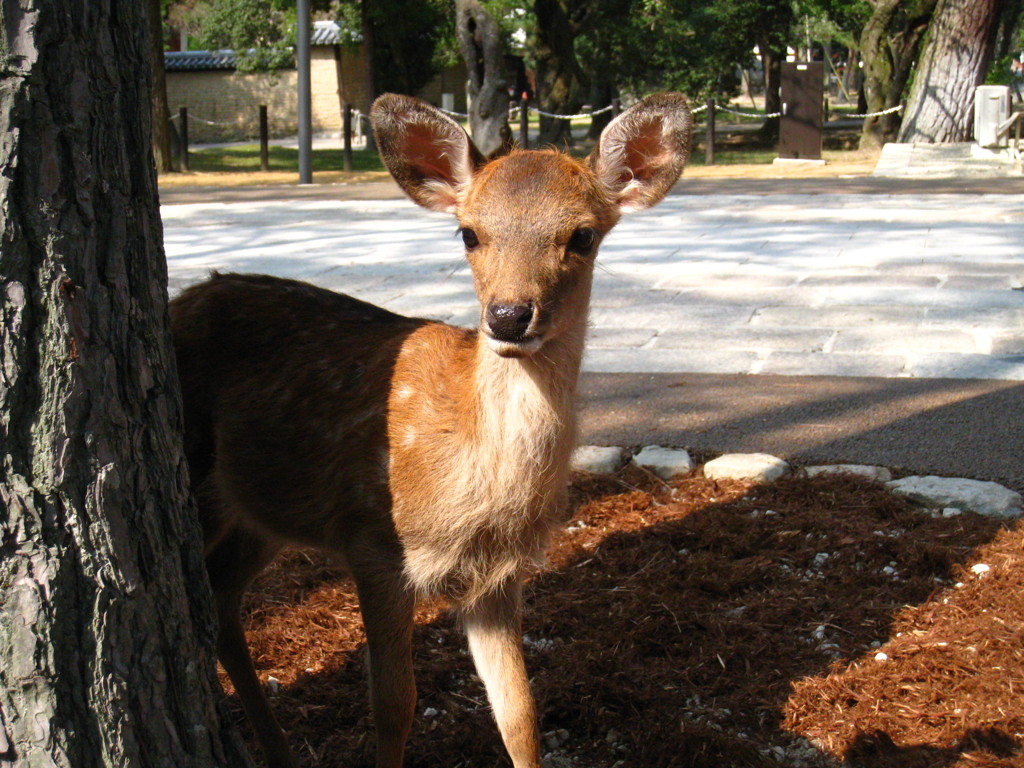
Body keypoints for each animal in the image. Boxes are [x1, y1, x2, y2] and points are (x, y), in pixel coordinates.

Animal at [172, 91, 692, 768]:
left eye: (582, 235)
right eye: (469, 232)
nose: (508, 316)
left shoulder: (497, 576)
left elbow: (520, 711)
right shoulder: (374, 541)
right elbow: (395, 703)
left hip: (260, 512)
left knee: (220, 596)